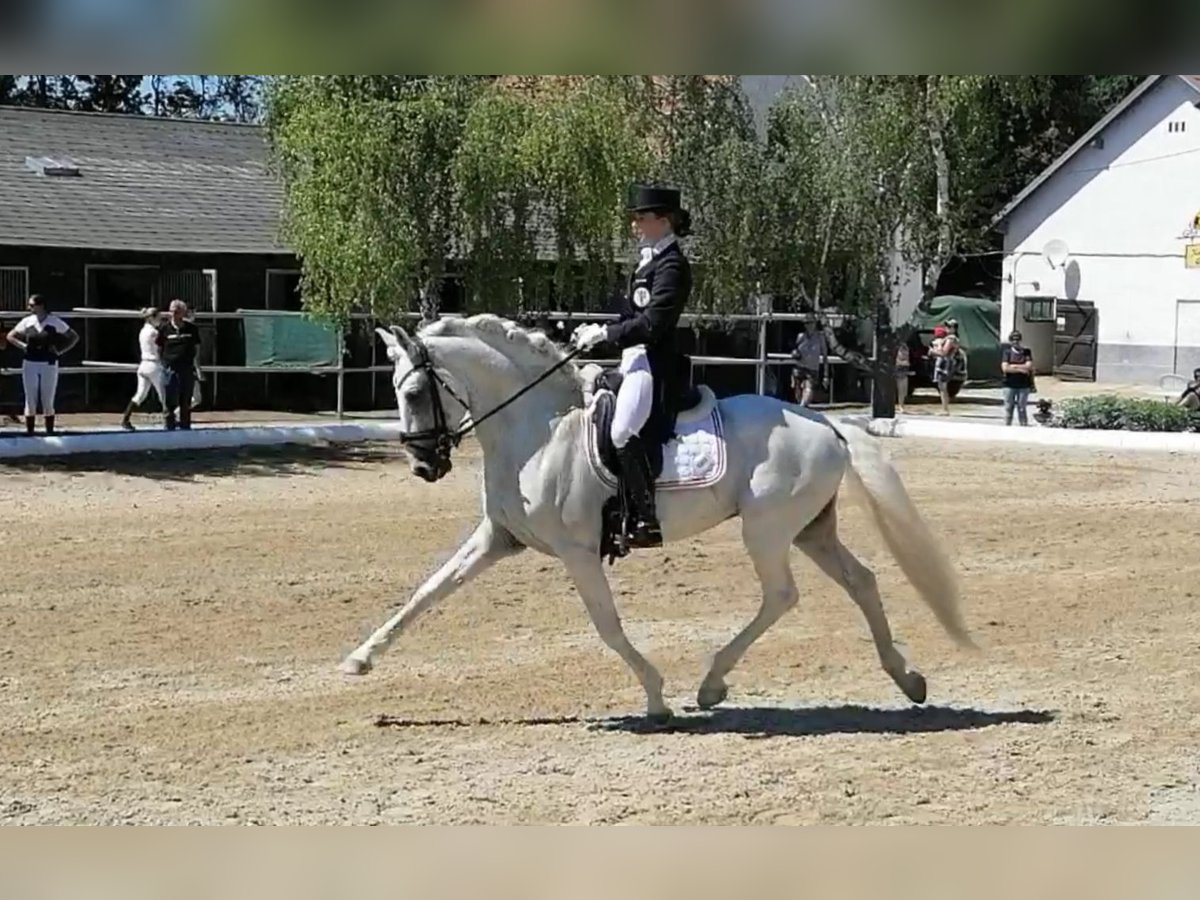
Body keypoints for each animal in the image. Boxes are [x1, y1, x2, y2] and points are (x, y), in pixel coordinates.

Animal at [340, 314, 974, 724]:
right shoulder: (499, 538)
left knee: (781, 595)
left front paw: (655, 698)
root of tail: (827, 424)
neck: (539, 430)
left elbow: (607, 626)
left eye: (415, 391)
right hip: (811, 529)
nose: (424, 464)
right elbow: (428, 592)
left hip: (767, 529)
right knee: (860, 580)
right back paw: (907, 679)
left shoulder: (577, 552)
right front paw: (359, 660)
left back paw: (712, 684)